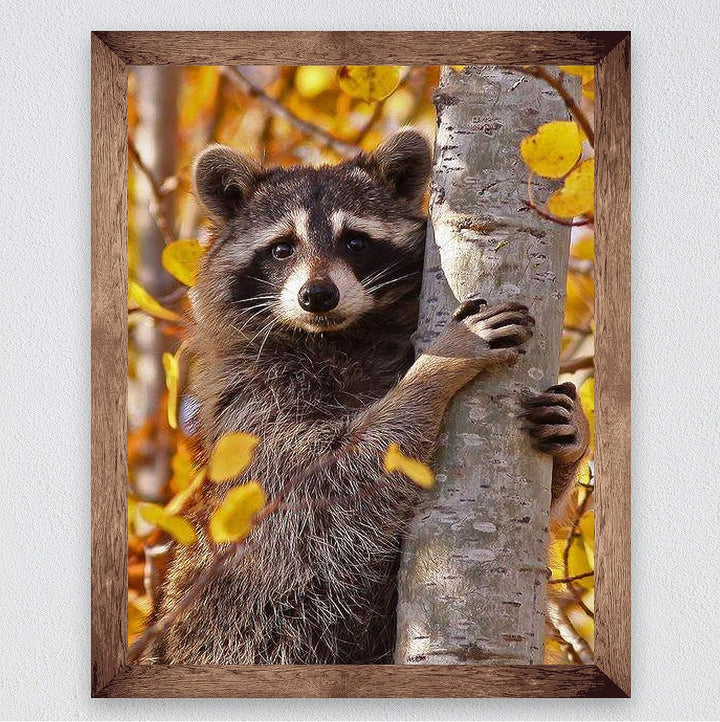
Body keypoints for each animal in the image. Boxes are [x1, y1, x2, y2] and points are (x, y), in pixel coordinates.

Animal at [148, 129, 589, 665]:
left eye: (355, 242)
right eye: (281, 248)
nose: (318, 295)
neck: (338, 338)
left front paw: (573, 440)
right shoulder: (253, 410)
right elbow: (332, 476)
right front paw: (438, 366)